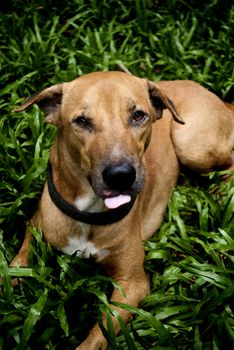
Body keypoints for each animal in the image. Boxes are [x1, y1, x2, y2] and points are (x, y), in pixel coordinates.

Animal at [11, 69, 234, 348]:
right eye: (82, 121)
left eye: (138, 115)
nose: (120, 176)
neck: (90, 212)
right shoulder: (35, 228)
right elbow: (15, 266)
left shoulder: (133, 284)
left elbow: (98, 335)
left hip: (190, 143)